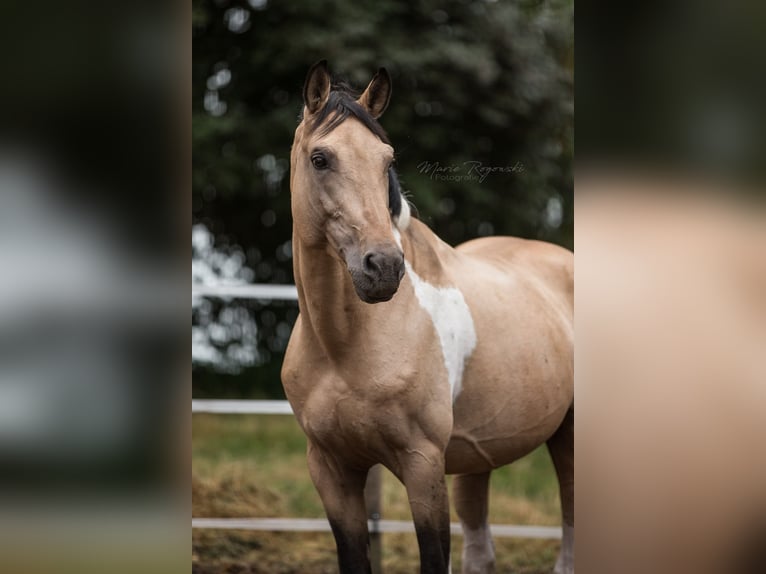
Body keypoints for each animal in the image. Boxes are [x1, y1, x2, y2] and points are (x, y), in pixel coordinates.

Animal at [281, 61, 574, 574]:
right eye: (320, 158)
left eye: (386, 160)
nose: (383, 267)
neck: (345, 346)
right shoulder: (332, 470)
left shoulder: (423, 465)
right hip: (479, 461)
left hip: (570, 440)